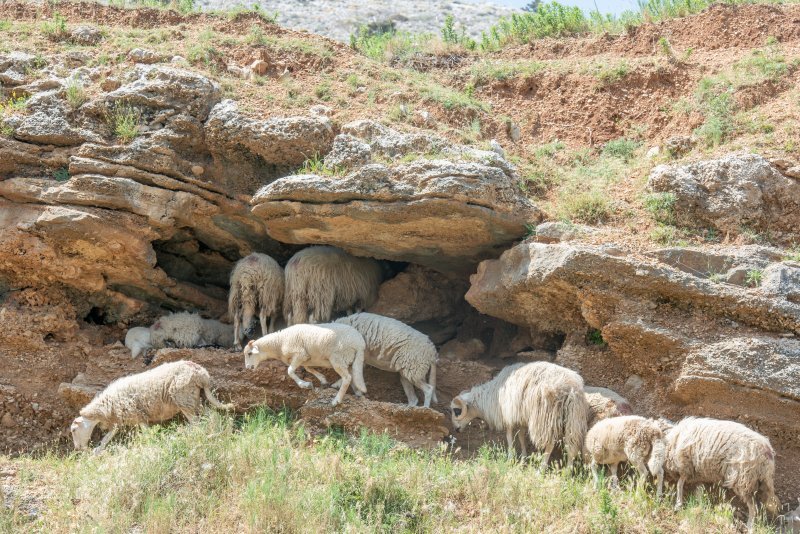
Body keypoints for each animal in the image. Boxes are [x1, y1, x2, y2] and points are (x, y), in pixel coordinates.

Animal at [69, 362, 233, 454]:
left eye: (74, 430)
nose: (77, 449)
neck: (104, 407)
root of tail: (202, 374)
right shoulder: (120, 420)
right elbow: (107, 438)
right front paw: (97, 452)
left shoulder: (137, 415)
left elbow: (147, 435)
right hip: (194, 399)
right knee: (212, 416)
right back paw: (217, 432)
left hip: (184, 398)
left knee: (196, 423)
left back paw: (190, 436)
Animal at [446, 362, 592, 472]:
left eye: (457, 410)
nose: (455, 429)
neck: (489, 396)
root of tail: (570, 389)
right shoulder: (521, 417)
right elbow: (521, 436)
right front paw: (523, 457)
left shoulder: (508, 415)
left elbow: (509, 436)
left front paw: (510, 458)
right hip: (574, 418)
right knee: (571, 446)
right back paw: (567, 472)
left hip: (544, 417)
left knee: (550, 443)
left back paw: (542, 469)